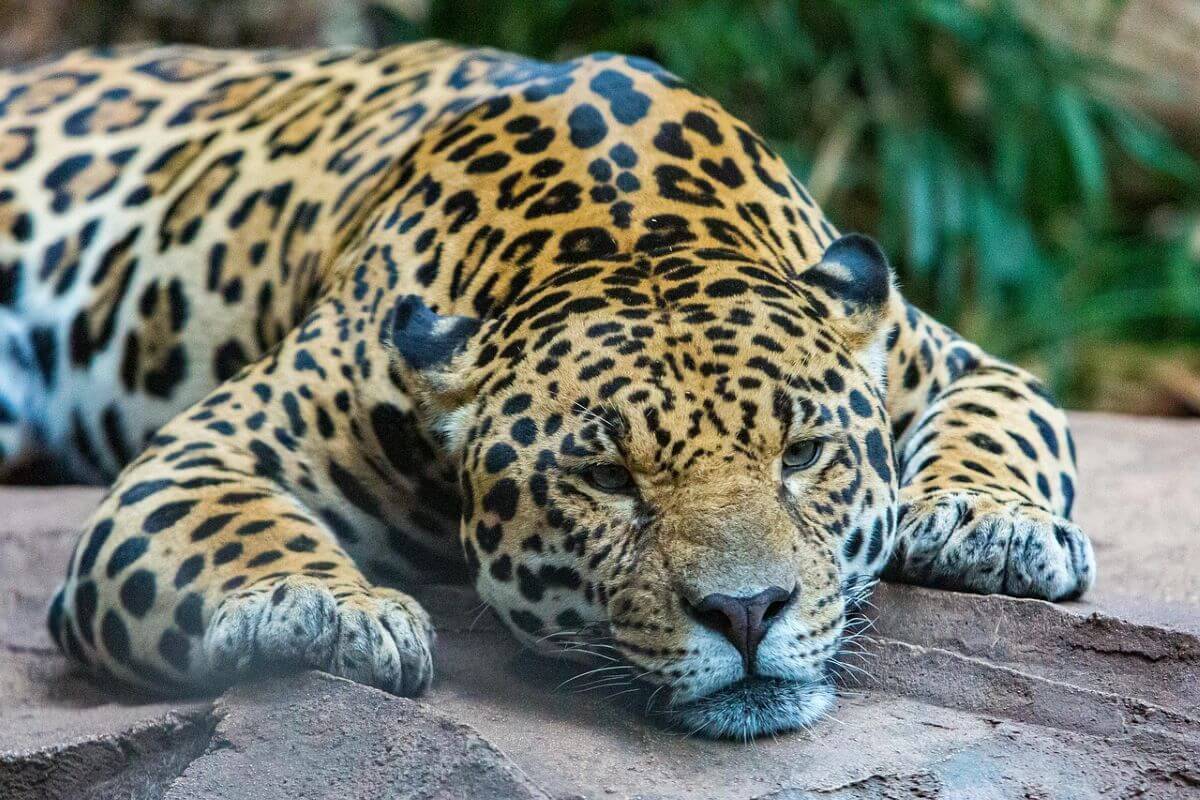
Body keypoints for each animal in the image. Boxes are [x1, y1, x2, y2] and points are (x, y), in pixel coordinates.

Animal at [0, 41, 1094, 739]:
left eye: (805, 454)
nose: (747, 614)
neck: (626, 222)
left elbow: (1010, 416)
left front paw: (990, 524)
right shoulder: (211, 449)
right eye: (607, 478)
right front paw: (325, 611)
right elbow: (236, 521)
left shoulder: (942, 354)